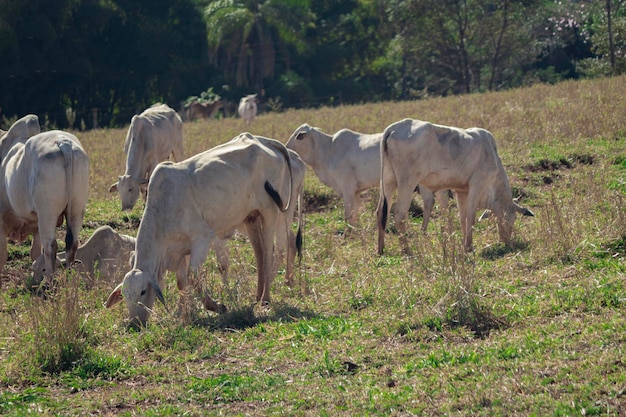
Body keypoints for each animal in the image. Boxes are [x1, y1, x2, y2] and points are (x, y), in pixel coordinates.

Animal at [105, 131, 300, 324]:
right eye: (124, 295)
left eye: (143, 292)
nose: (134, 324)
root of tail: (263, 141)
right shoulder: (180, 249)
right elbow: (182, 281)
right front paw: (183, 315)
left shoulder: (202, 238)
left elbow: (193, 277)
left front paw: (216, 306)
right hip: (251, 217)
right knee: (259, 254)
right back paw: (258, 296)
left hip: (270, 212)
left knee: (269, 253)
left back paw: (265, 299)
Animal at [286, 122, 446, 229]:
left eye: (298, 137)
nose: (286, 148)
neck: (328, 149)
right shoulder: (356, 192)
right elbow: (354, 216)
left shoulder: (348, 189)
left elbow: (348, 215)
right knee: (436, 201)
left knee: (433, 202)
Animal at [376, 117, 532, 254]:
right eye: (511, 219)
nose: (505, 240)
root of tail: (394, 128)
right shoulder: (477, 186)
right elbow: (471, 216)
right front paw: (469, 247)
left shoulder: (461, 191)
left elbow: (463, 218)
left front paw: (464, 244)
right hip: (407, 183)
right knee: (399, 214)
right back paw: (407, 251)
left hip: (388, 182)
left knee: (381, 212)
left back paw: (381, 249)